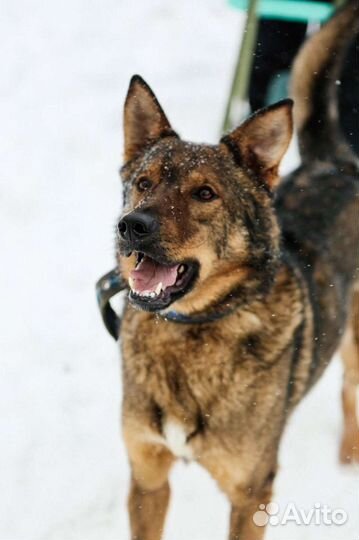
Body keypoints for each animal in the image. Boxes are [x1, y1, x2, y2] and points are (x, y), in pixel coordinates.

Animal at [107, 2, 359, 536]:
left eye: (205, 193)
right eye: (143, 182)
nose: (131, 226)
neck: (187, 335)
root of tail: (333, 163)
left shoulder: (252, 493)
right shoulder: (147, 478)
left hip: (356, 340)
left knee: (350, 389)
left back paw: (348, 458)